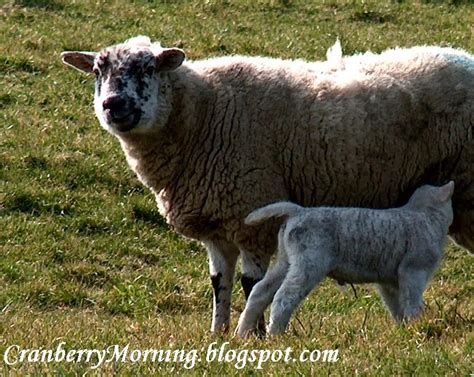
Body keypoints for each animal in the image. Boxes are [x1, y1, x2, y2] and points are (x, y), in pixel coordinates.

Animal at [237, 181, 456, 336]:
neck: (423, 215)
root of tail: (298, 211)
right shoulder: (413, 270)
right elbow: (412, 301)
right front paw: (418, 325)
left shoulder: (388, 279)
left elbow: (395, 305)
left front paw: (403, 327)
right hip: (309, 262)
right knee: (283, 297)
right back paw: (276, 334)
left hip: (286, 261)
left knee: (260, 291)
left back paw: (243, 332)